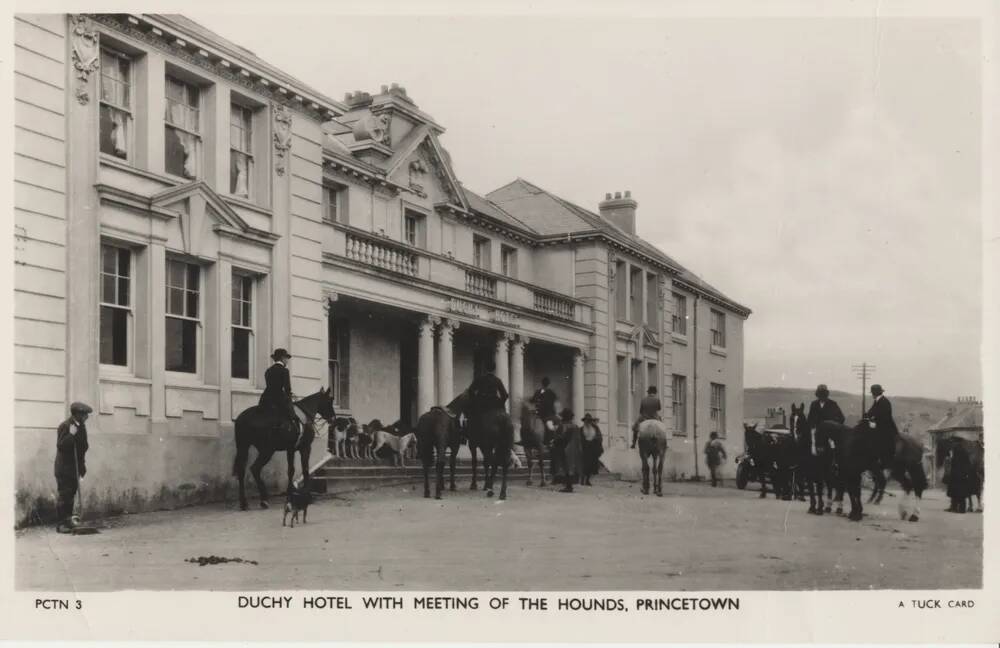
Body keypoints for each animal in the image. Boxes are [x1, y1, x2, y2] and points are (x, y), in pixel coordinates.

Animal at [231, 384, 336, 512]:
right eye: (330, 401)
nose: (334, 418)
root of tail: (242, 418)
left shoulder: (290, 450)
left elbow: (291, 470)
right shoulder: (304, 448)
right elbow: (302, 470)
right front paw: (305, 496)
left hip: (244, 447)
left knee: (242, 470)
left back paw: (245, 503)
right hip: (267, 450)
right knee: (255, 468)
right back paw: (263, 499)